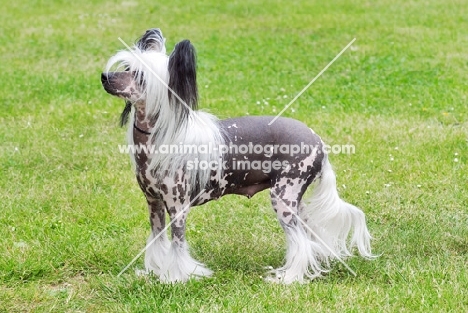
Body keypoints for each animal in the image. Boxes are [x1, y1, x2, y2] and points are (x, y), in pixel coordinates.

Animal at [100, 28, 374, 282]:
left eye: (139, 76)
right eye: (127, 67)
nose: (104, 77)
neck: (158, 137)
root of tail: (319, 142)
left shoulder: (178, 208)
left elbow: (177, 245)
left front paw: (175, 279)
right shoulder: (154, 204)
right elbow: (157, 240)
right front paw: (154, 273)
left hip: (283, 198)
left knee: (300, 240)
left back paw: (288, 278)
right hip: (295, 201)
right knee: (308, 234)